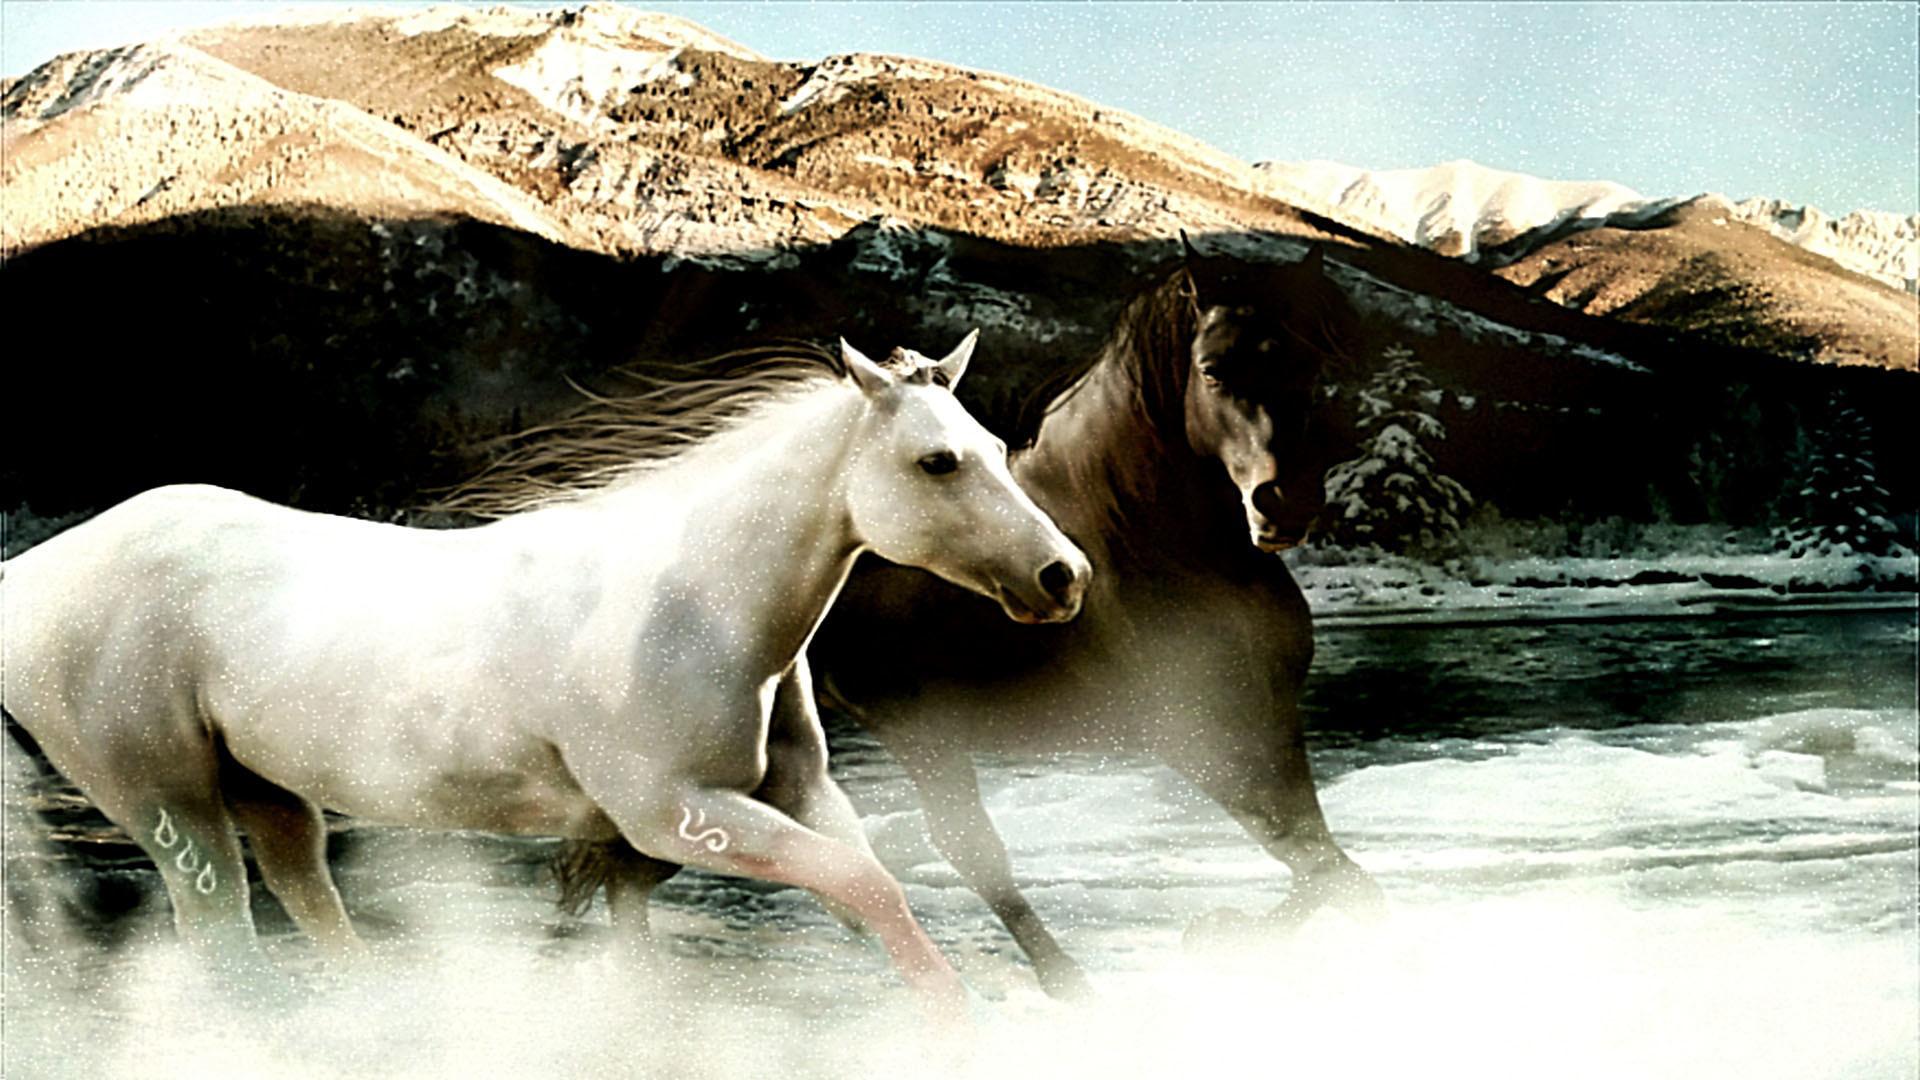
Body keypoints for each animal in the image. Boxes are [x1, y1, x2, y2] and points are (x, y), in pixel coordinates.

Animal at [0, 332, 1091, 1019]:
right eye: (938, 461)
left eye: (996, 447)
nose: (1064, 577)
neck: (695, 603)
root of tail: (32, 573)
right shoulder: (675, 814)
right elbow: (865, 886)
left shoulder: (795, 797)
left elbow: (861, 893)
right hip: (165, 798)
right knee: (223, 936)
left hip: (266, 789)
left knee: (305, 895)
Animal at [805, 242, 1389, 999]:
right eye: (1211, 368)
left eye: (1308, 364)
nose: (1282, 503)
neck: (1145, 538)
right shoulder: (1192, 733)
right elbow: (1320, 861)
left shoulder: (1270, 716)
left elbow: (1317, 856)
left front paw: (1223, 930)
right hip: (917, 733)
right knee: (966, 850)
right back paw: (1063, 983)